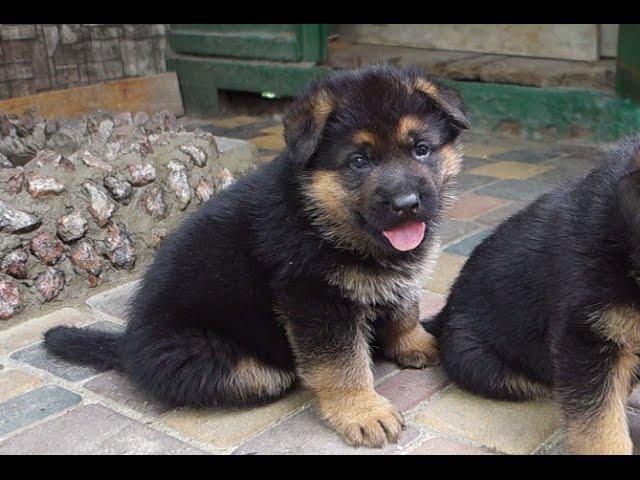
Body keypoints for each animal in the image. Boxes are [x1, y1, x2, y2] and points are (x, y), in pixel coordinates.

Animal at [42, 65, 468, 448]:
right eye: (358, 161)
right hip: (233, 365)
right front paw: (362, 410)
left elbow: (404, 308)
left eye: (421, 149)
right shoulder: (314, 300)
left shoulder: (390, 280)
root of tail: (127, 347)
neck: (318, 215)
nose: (406, 204)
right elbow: (342, 364)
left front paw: (416, 342)